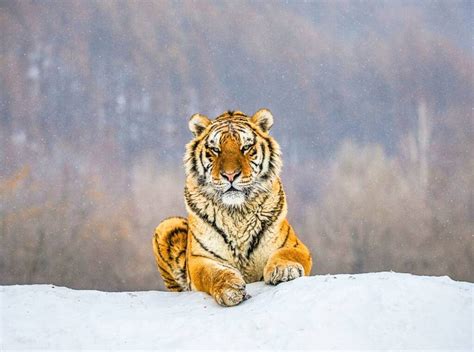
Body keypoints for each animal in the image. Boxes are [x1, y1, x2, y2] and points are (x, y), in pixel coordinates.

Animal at [152, 108, 312, 306]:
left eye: (246, 148)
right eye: (215, 149)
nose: (230, 175)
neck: (236, 213)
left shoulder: (295, 245)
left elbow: (287, 254)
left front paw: (285, 270)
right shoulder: (200, 258)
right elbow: (213, 273)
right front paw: (230, 289)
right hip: (166, 225)